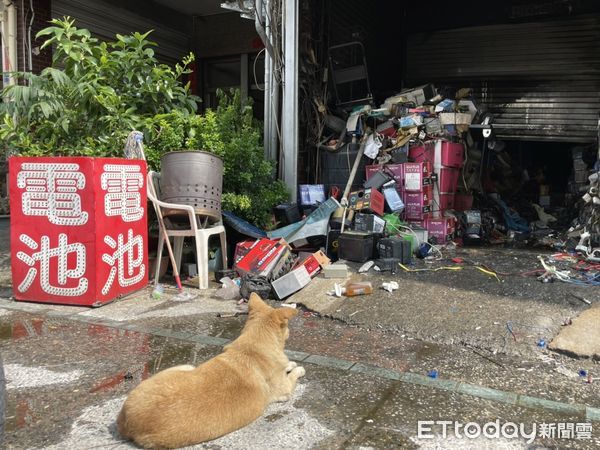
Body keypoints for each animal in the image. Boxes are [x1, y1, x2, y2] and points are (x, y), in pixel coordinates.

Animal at [115, 294, 308, 448]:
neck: (253, 347)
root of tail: (126, 421)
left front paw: (289, 364)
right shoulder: (285, 389)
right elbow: (294, 375)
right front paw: (297, 368)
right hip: (188, 366)